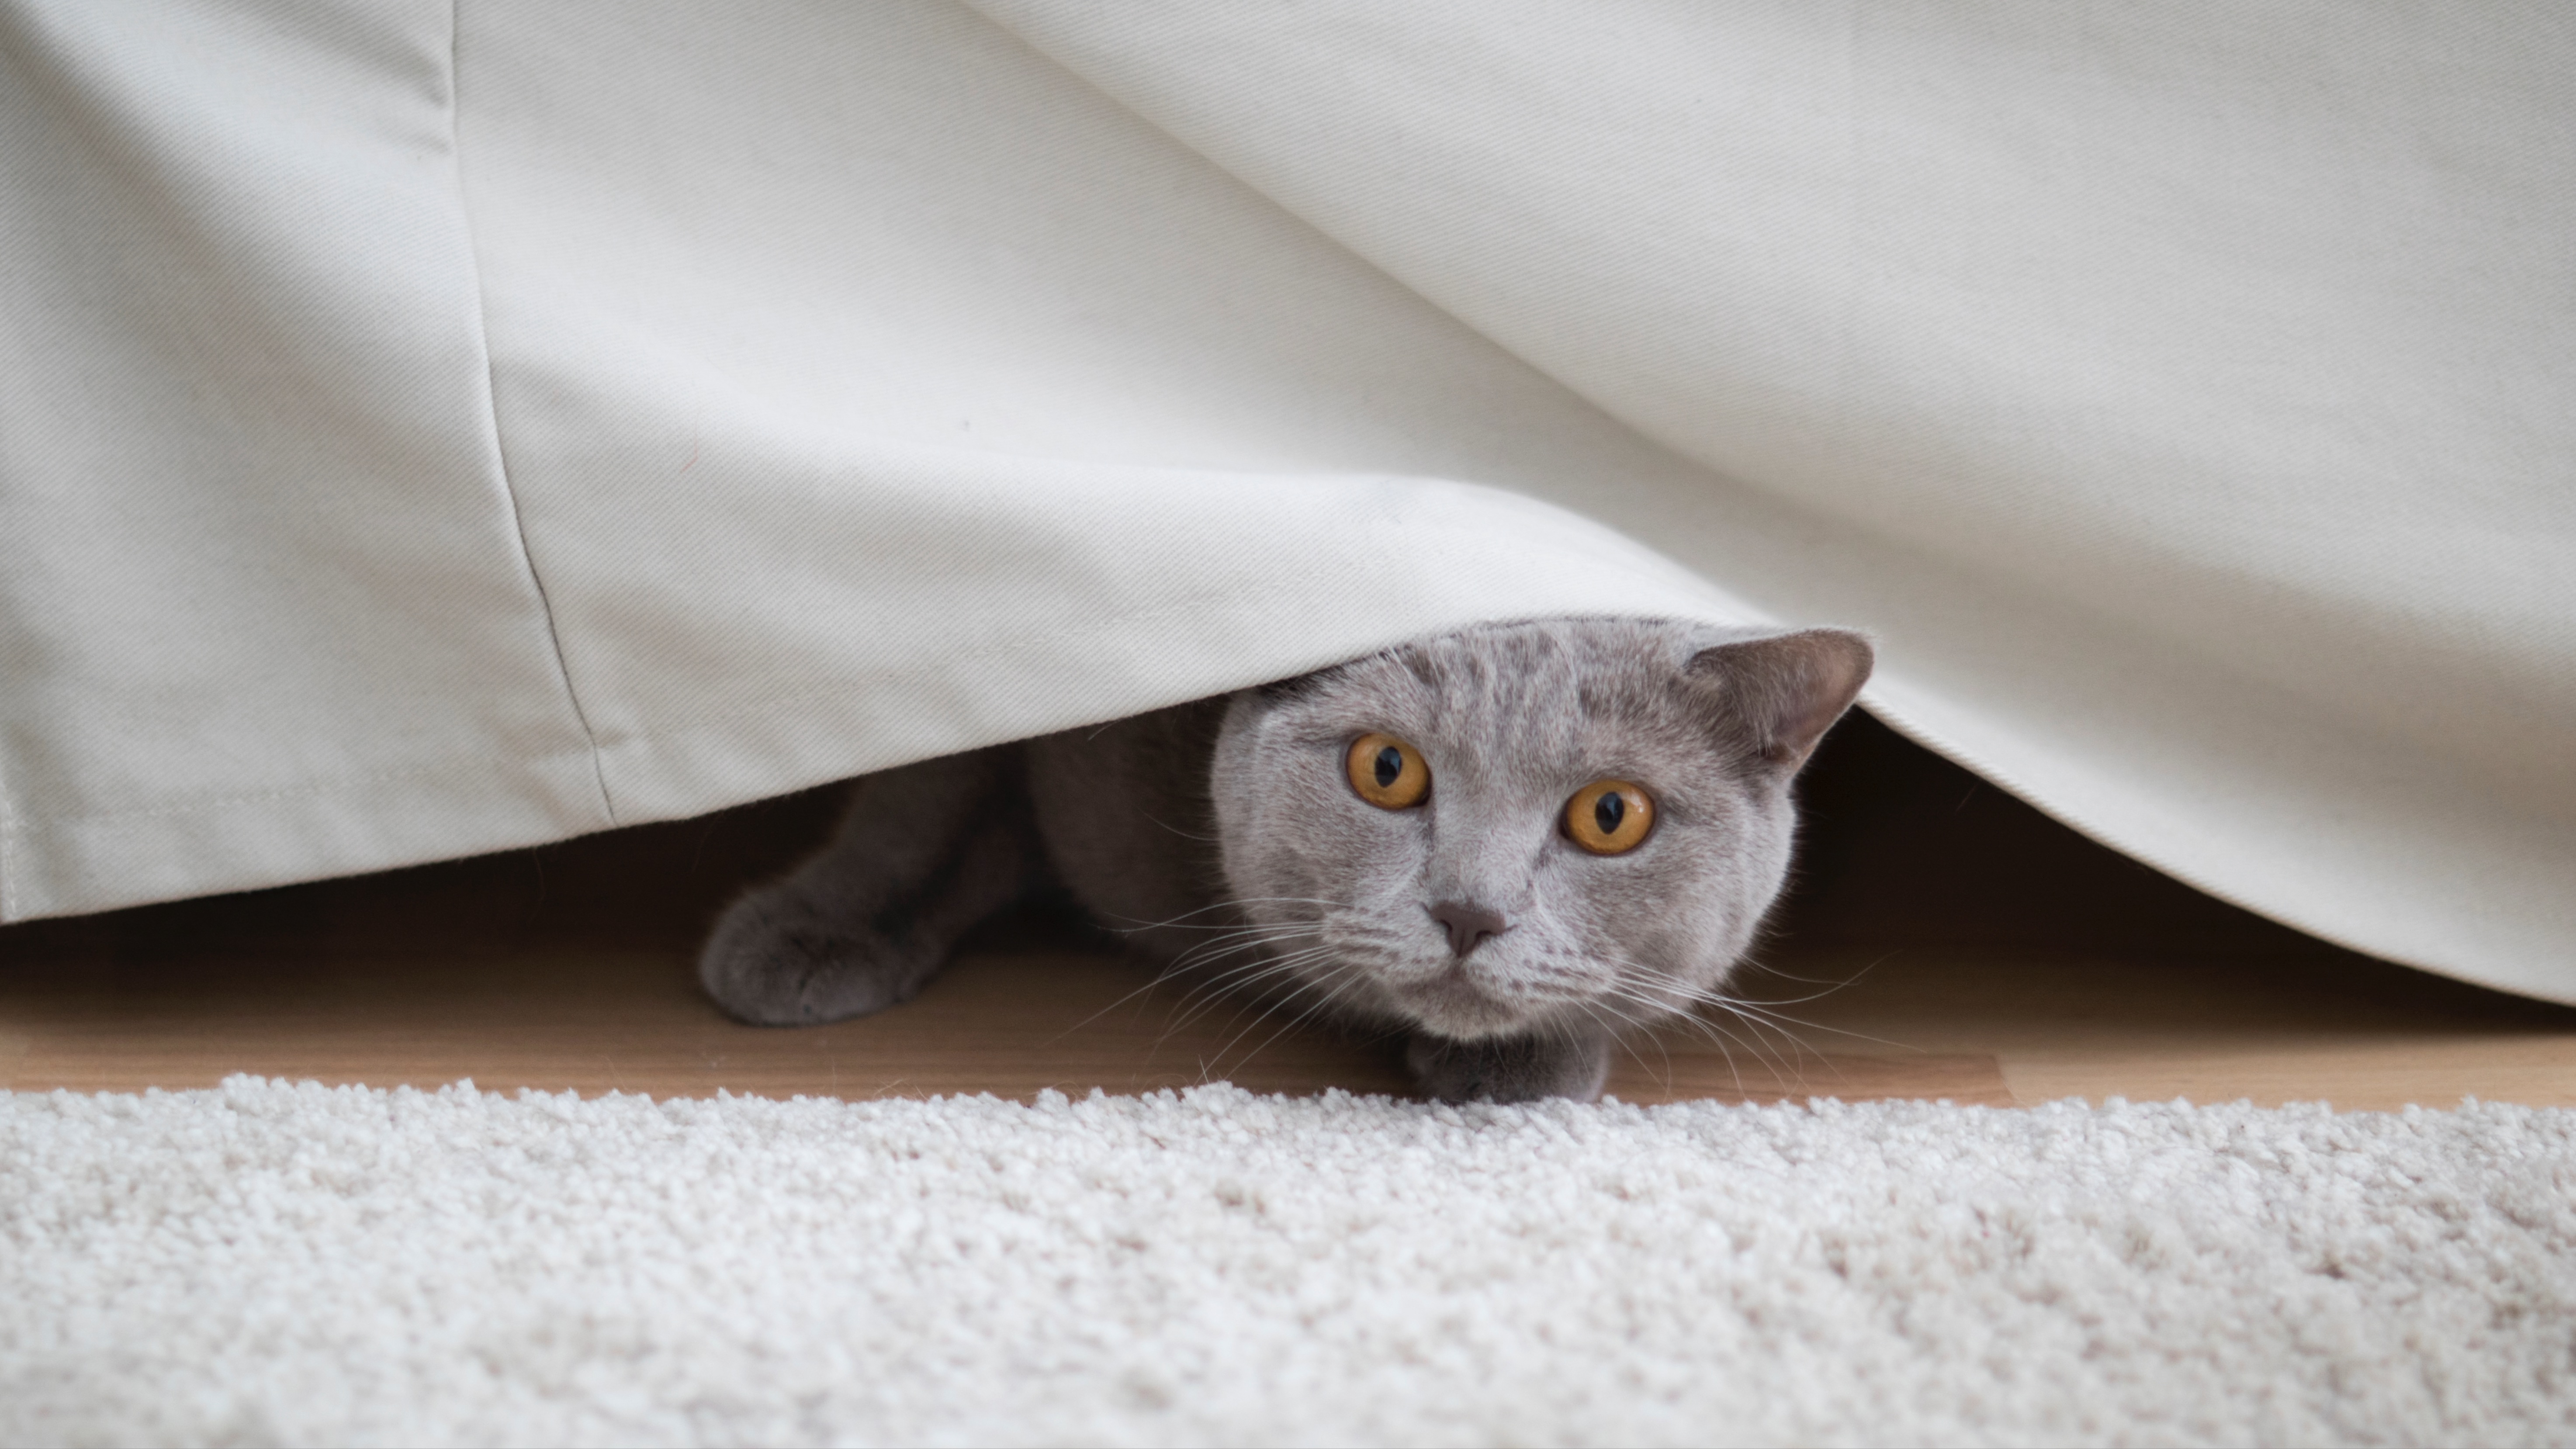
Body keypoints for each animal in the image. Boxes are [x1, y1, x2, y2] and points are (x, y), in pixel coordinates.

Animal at [700, 617, 1875, 1107]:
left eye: (1611, 814)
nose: (1469, 909)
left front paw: (1522, 1063)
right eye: (1387, 768)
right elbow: (922, 793)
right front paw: (809, 935)